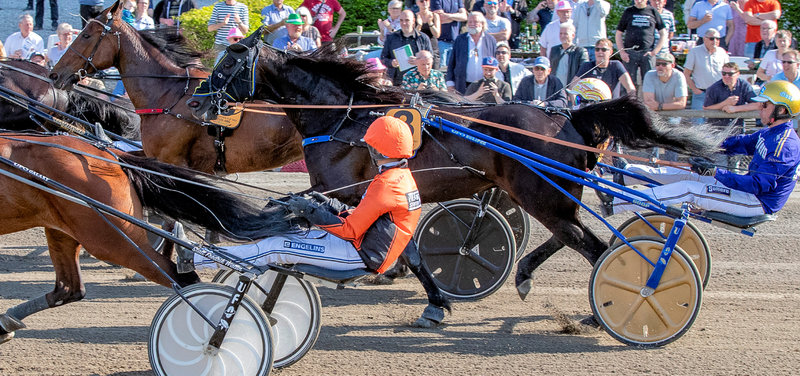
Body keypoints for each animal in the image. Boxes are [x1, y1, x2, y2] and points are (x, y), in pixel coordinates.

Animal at [0, 133, 298, 344]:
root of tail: (113, 158)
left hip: (109, 238)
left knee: (180, 278)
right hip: (64, 230)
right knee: (67, 289)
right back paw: (7, 321)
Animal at [189, 30, 724, 314]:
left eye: (227, 65)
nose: (196, 101)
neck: (347, 116)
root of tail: (570, 117)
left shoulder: (347, 189)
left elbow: (397, 244)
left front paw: (433, 300)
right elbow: (401, 246)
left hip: (542, 194)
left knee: (593, 245)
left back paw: (609, 304)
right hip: (547, 195)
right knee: (577, 237)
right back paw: (527, 275)